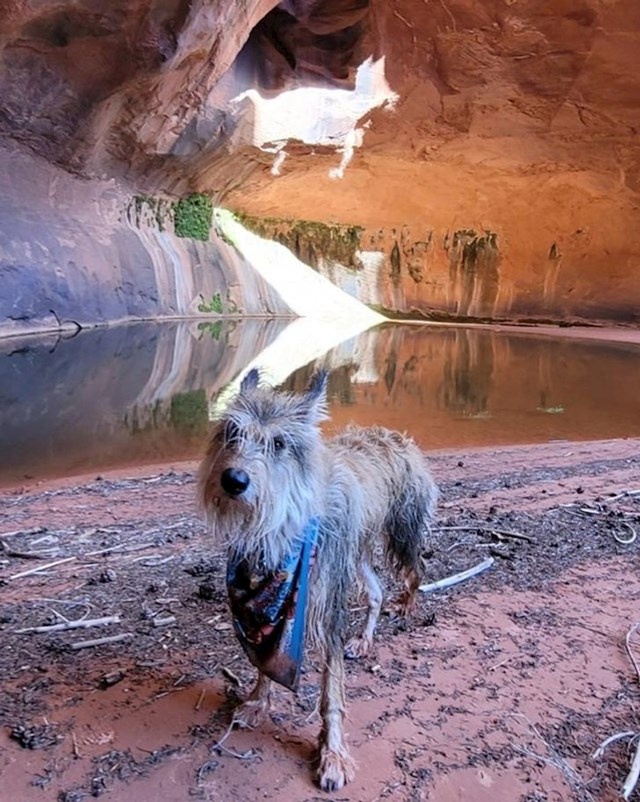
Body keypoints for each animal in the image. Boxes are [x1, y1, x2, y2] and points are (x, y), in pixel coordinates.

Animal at [199, 368, 440, 788]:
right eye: (231, 432)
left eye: (279, 443)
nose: (234, 480)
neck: (284, 518)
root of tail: (399, 437)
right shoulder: (271, 612)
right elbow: (266, 659)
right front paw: (257, 702)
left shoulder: (326, 608)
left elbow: (331, 693)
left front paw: (333, 753)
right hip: (355, 556)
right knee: (375, 591)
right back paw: (364, 639)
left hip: (401, 533)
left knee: (415, 572)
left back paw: (407, 605)